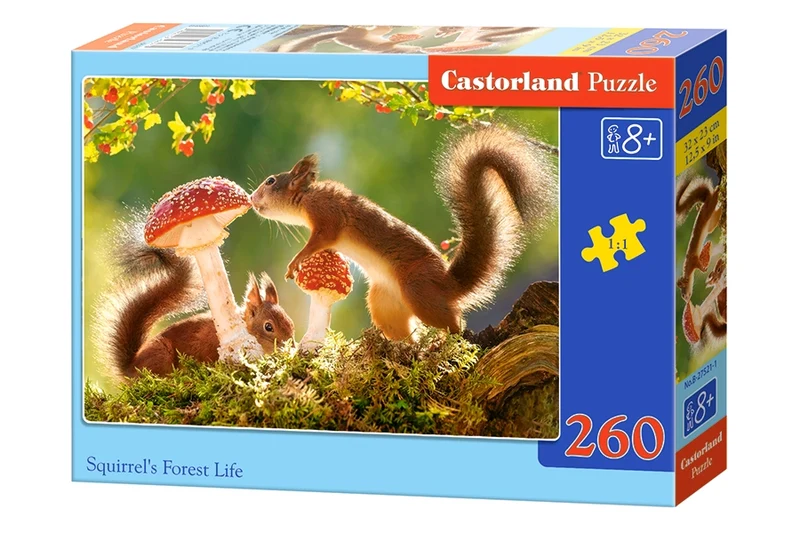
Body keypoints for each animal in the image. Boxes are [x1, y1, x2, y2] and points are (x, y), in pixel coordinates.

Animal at [251, 125, 556, 340]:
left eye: (271, 181)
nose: (252, 198)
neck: (308, 197)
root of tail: (448, 285)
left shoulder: (328, 218)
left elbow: (318, 241)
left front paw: (294, 263)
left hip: (418, 290)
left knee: (454, 322)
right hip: (383, 304)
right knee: (407, 335)